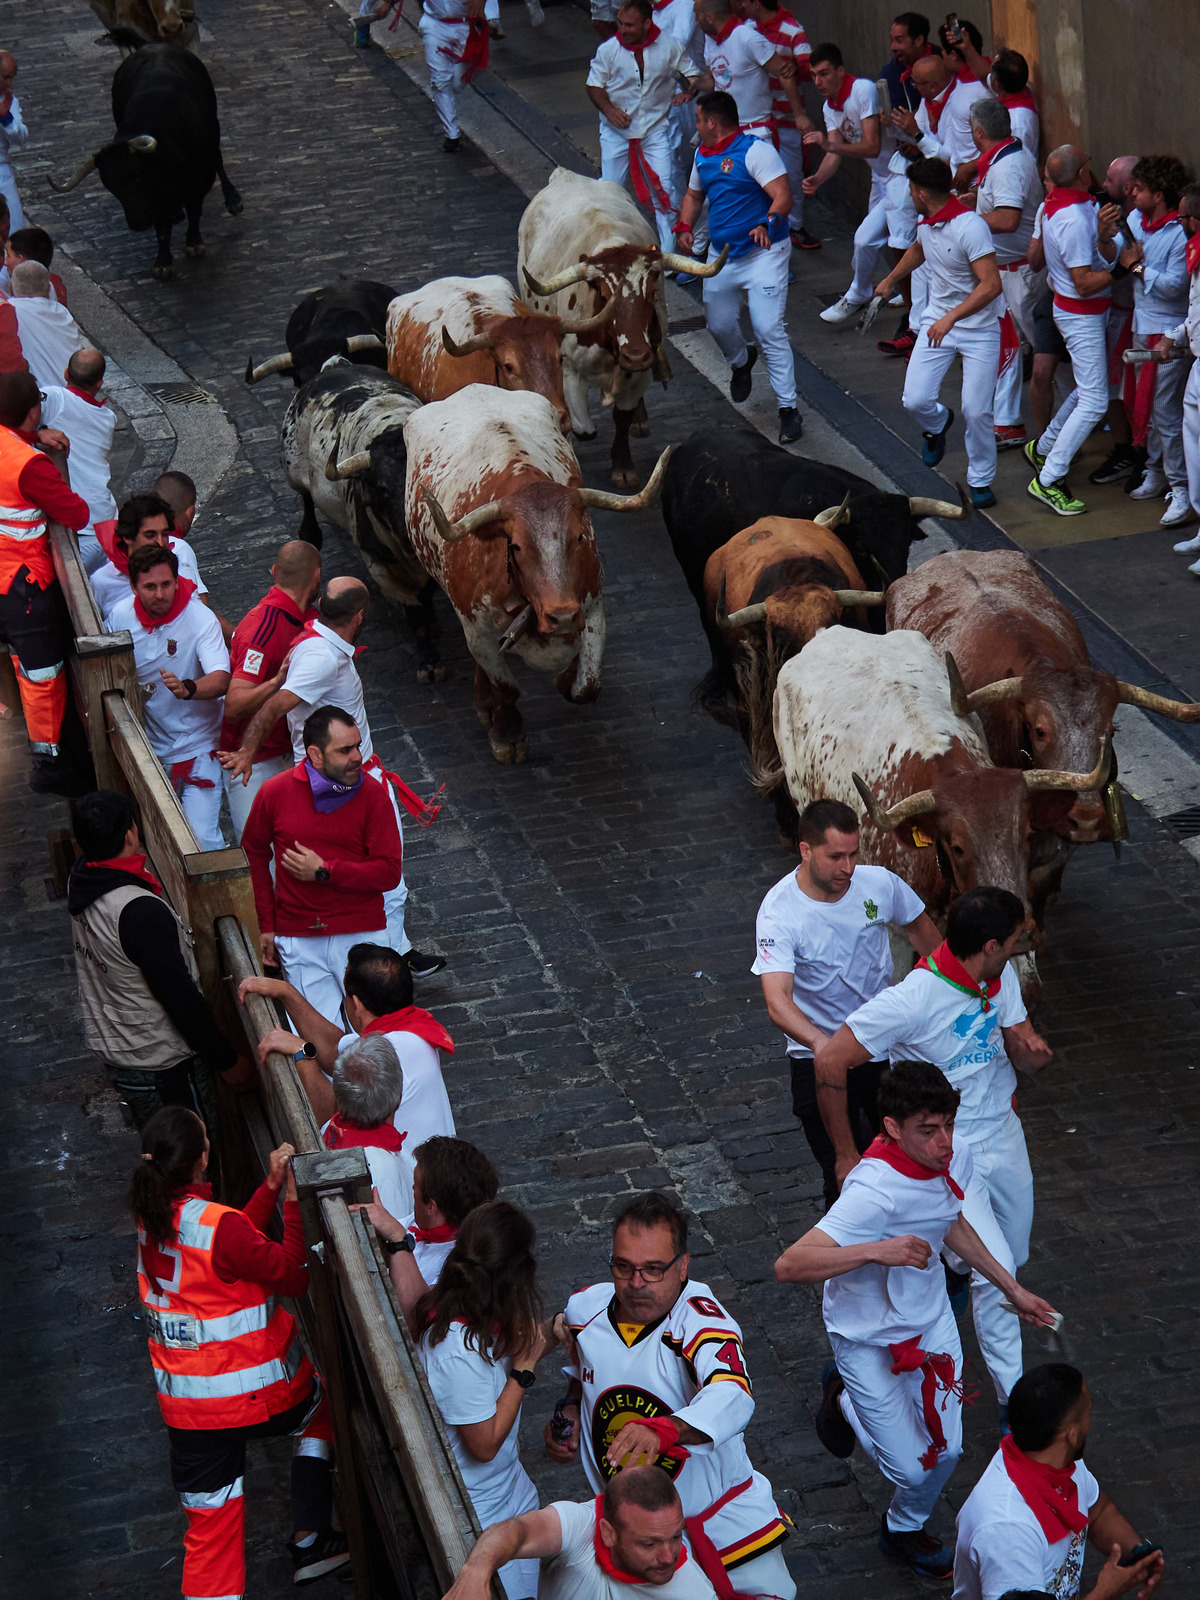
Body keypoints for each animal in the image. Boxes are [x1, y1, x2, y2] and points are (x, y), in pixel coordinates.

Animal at [49, 45, 241, 278]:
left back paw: (233, 200)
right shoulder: (156, 199)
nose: (137, 223)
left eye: (137, 174)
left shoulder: (201, 179)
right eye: (109, 185)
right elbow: (162, 229)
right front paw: (163, 262)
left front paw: (194, 243)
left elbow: (195, 211)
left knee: (218, 160)